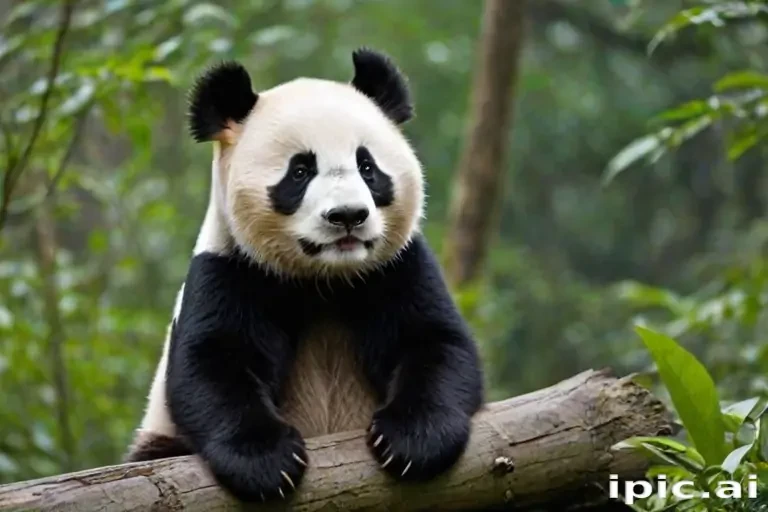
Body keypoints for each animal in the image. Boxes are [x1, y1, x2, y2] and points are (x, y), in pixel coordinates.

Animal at [125, 47, 485, 503]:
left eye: (367, 167)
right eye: (300, 172)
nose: (348, 216)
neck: (324, 278)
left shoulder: (397, 266)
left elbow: (436, 342)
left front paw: (413, 440)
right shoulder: (230, 269)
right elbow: (212, 365)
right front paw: (267, 463)